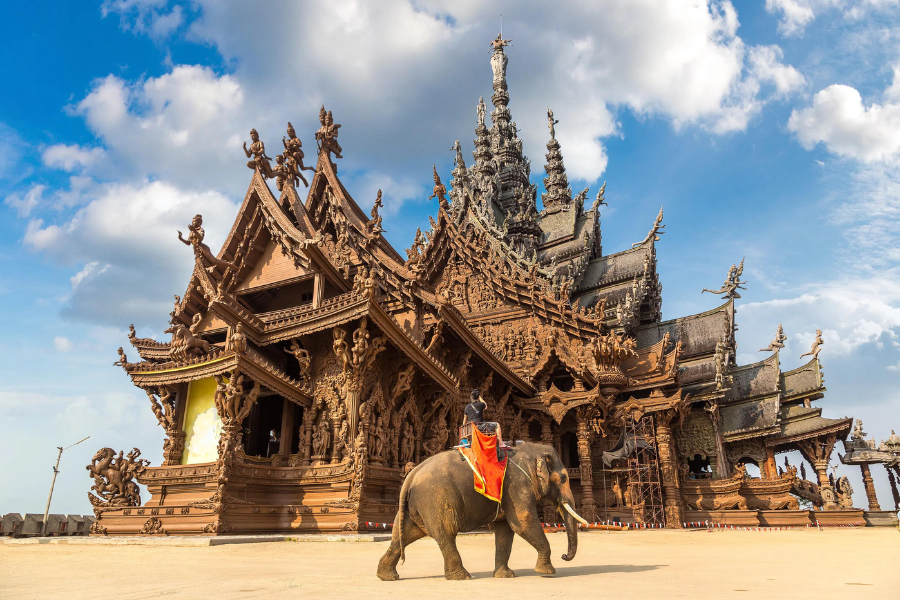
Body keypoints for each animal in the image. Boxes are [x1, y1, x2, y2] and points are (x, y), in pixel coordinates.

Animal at [376, 440, 588, 580]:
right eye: (564, 478)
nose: (564, 556)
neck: (530, 448)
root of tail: (411, 476)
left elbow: (505, 530)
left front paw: (505, 576)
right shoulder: (517, 484)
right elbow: (523, 522)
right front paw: (547, 572)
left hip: (416, 506)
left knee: (404, 534)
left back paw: (387, 576)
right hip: (436, 500)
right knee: (446, 535)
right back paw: (462, 577)